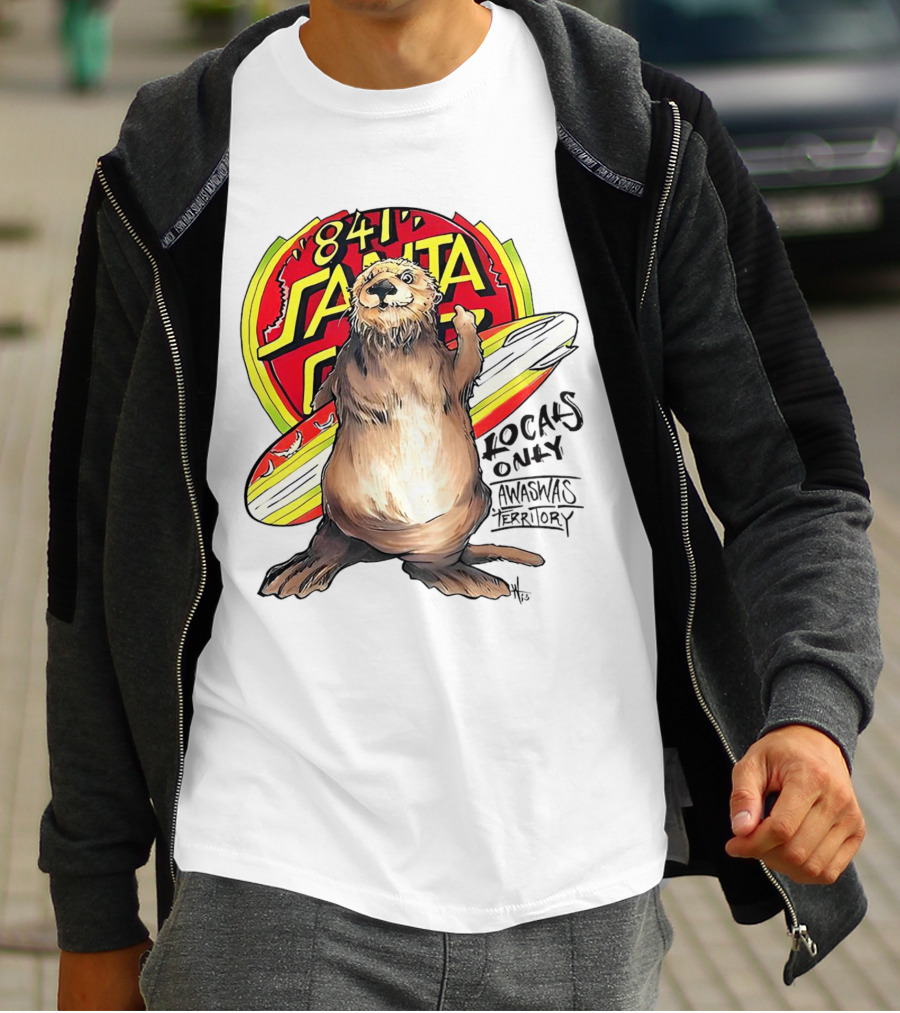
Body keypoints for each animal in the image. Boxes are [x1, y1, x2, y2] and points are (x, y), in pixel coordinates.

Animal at [259, 258, 543, 600]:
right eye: (368, 276)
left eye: (407, 276)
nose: (382, 286)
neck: (395, 368)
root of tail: (387, 548)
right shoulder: (342, 366)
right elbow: (327, 390)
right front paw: (317, 410)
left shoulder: (448, 371)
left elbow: (469, 361)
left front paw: (463, 316)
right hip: (337, 518)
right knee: (334, 546)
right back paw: (295, 573)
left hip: (462, 518)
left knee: (424, 565)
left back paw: (473, 581)